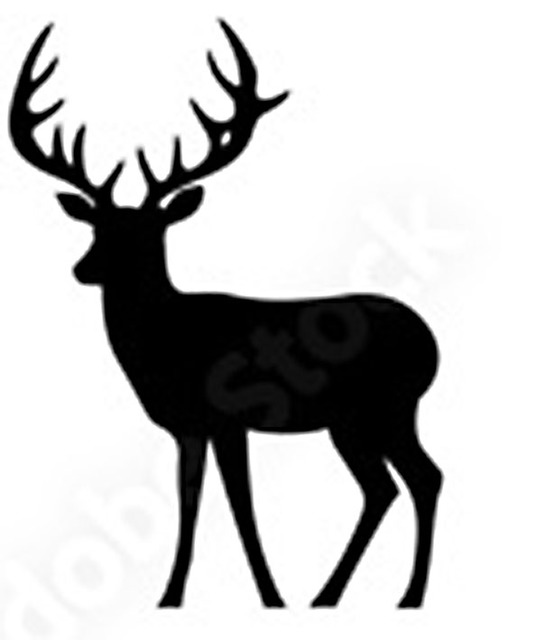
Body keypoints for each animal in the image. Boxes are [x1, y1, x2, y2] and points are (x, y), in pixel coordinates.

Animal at [9, 20, 443, 609]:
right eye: (96, 228)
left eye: (145, 235)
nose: (82, 268)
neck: (165, 346)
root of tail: (433, 345)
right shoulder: (187, 426)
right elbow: (189, 501)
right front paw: (170, 597)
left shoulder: (229, 417)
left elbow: (241, 506)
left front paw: (271, 597)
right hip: (359, 420)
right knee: (389, 485)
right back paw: (333, 594)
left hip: (385, 407)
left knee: (418, 479)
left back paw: (401, 595)